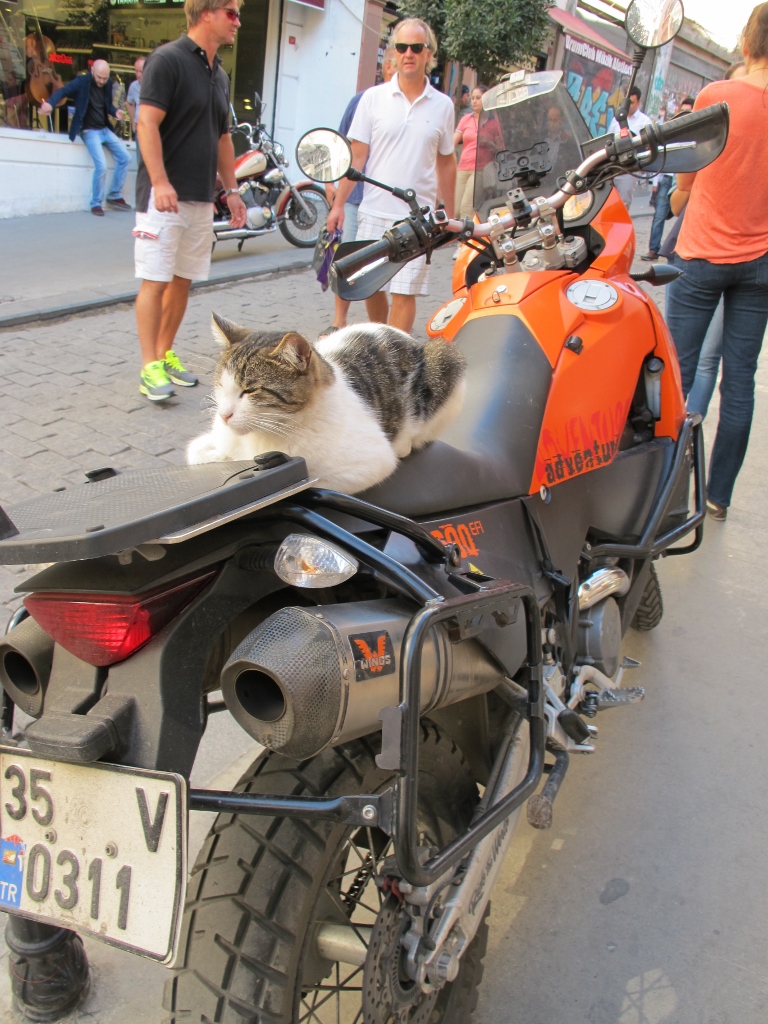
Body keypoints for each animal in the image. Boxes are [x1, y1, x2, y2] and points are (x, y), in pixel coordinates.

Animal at [186, 314, 466, 494]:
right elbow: (194, 453)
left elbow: (313, 484)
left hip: (446, 358)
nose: (224, 415)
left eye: (250, 390)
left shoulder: (370, 464)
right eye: (220, 385)